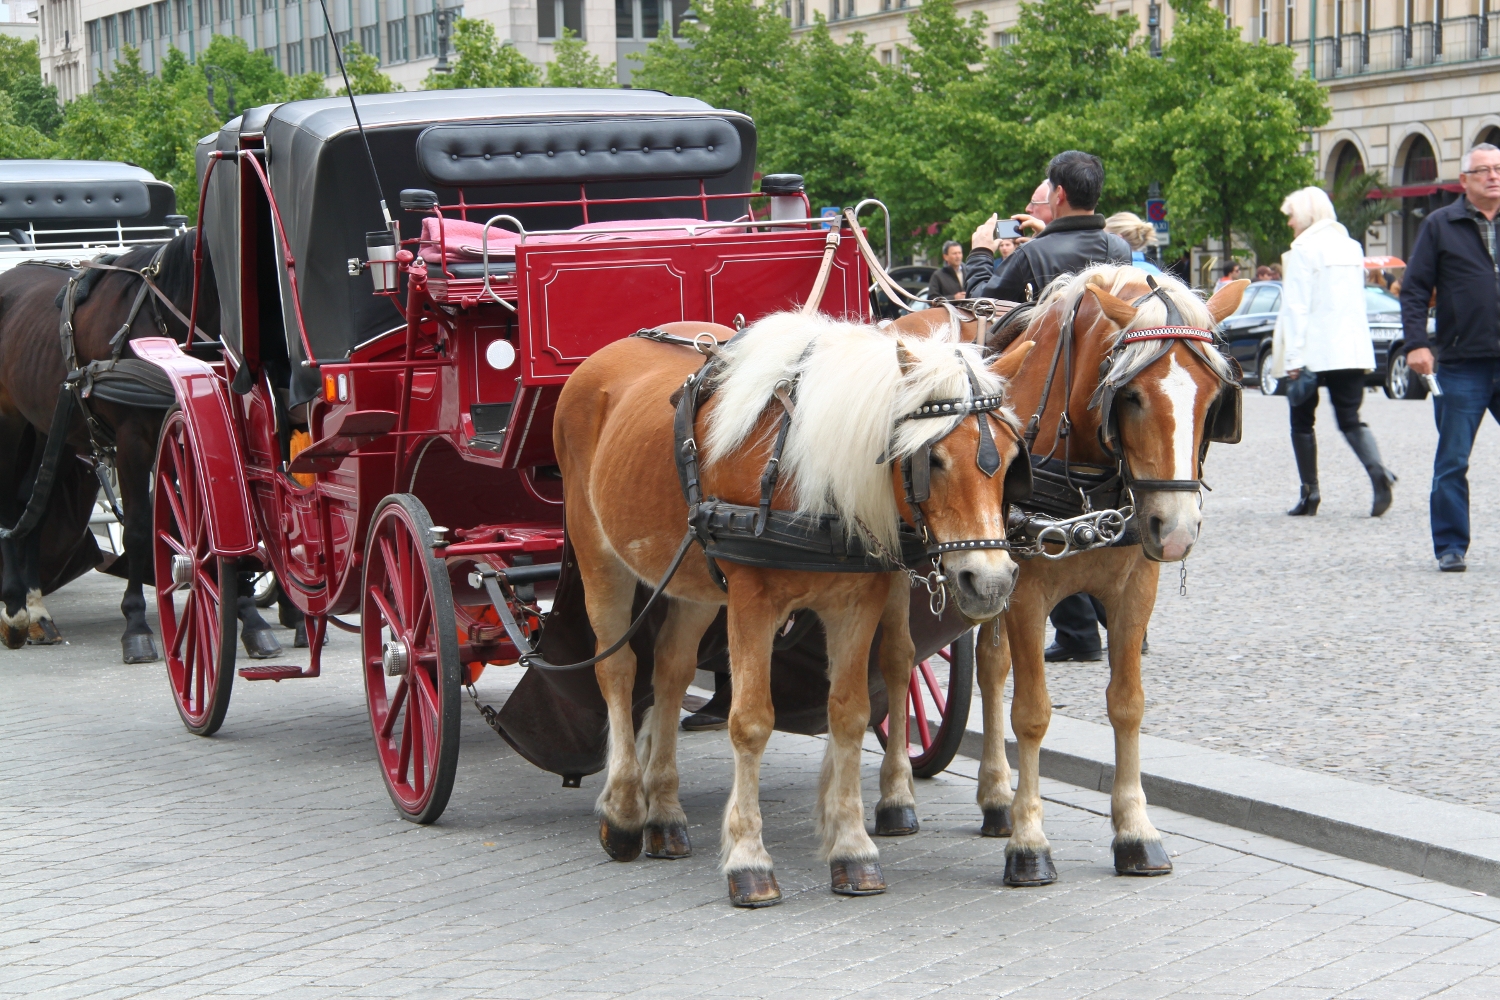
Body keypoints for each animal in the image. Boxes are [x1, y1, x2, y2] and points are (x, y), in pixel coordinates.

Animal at [558, 310, 1038, 905]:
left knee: (670, 672)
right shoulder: (751, 601)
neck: (808, 471)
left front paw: (853, 848)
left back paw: (664, 815)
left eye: (1013, 461)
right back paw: (624, 810)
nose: (989, 582)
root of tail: (603, 357)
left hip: (691, 578)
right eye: (935, 459)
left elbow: (850, 714)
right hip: (599, 555)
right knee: (618, 669)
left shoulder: (857, 602)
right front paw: (748, 858)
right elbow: (750, 721)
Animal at [924, 263, 1242, 881]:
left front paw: (1136, 831)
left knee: (990, 668)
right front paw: (1029, 844)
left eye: (1215, 398)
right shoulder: (1025, 592)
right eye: (1132, 396)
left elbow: (1127, 703)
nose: (1176, 529)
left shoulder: (1134, 588)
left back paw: (995, 800)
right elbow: (1031, 713)